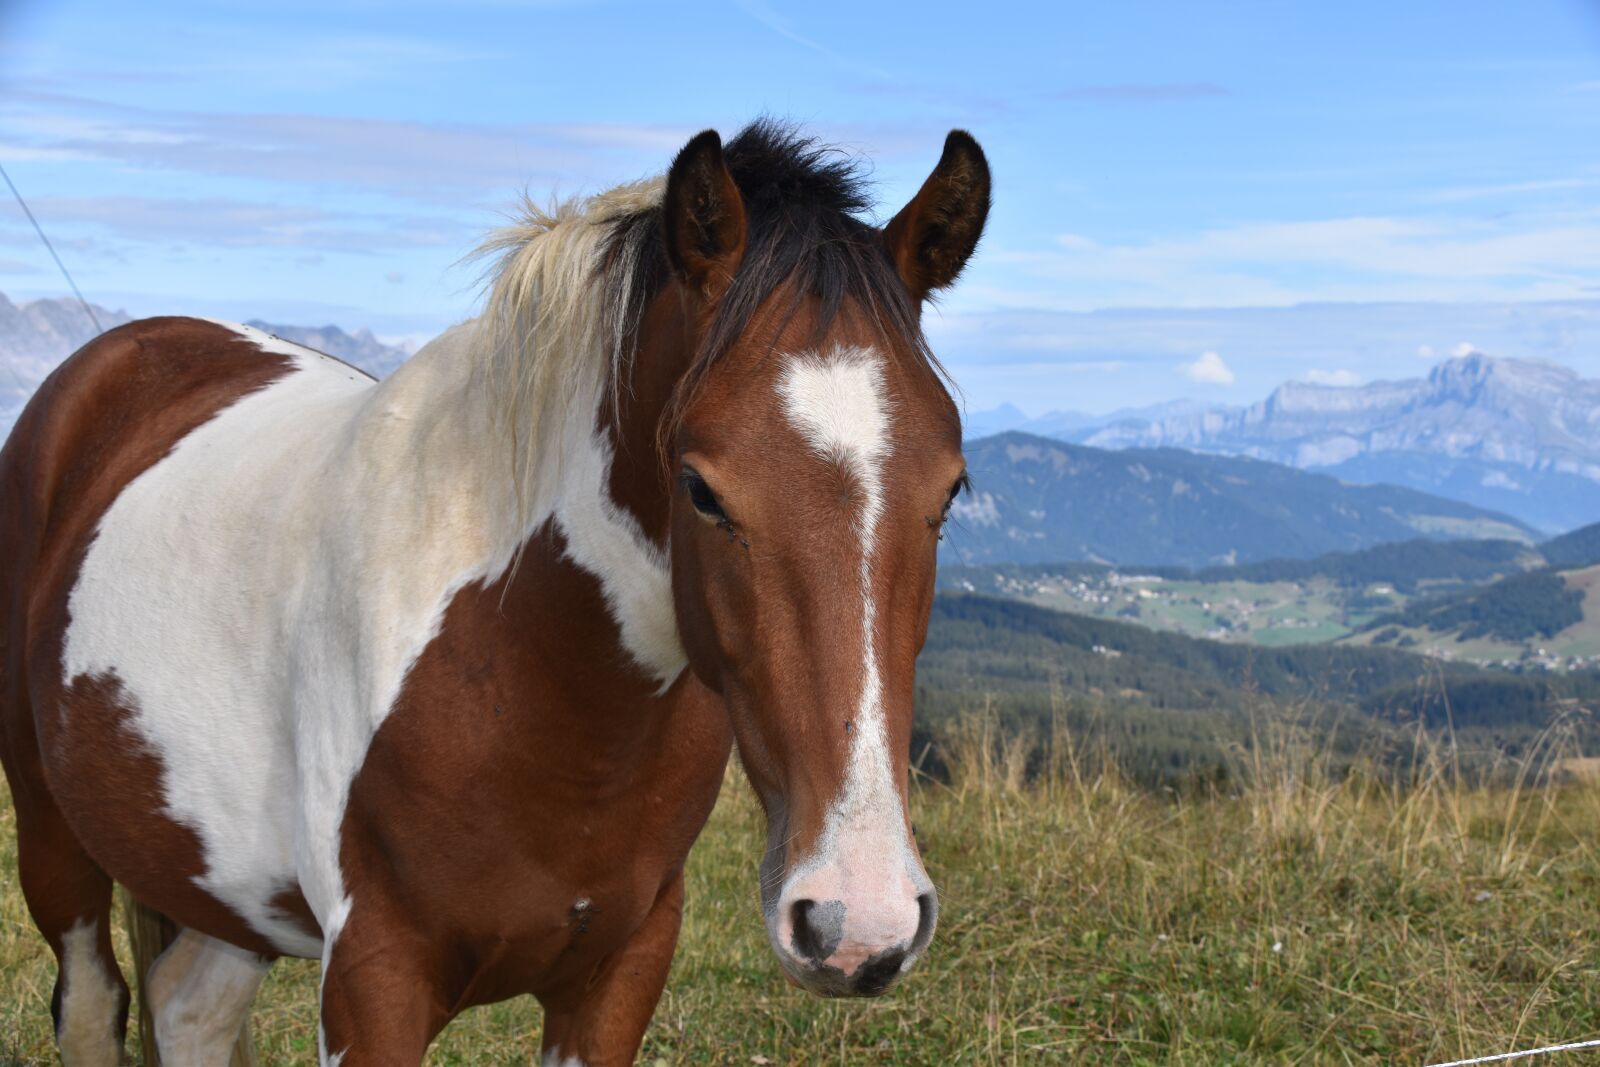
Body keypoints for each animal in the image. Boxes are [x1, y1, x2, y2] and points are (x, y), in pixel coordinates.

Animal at [0, 119, 989, 1065]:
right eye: (703, 489)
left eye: (950, 489)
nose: (858, 919)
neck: (518, 673)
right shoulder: (372, 984)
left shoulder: (619, 972)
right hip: (56, 842)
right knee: (94, 1009)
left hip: (225, 895)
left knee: (186, 1009)